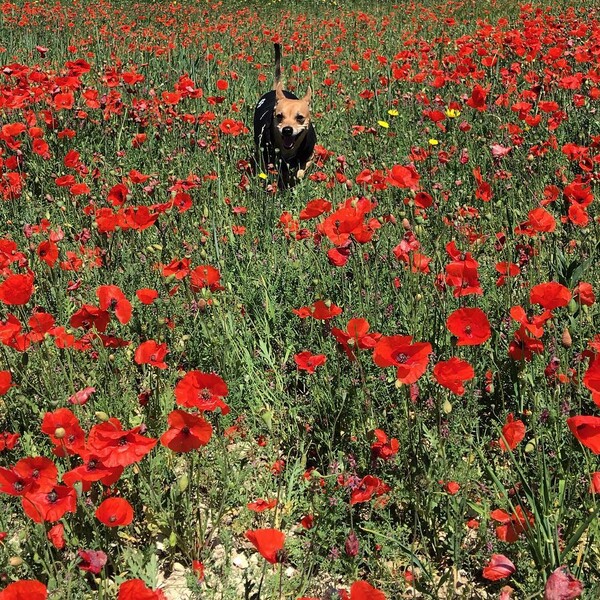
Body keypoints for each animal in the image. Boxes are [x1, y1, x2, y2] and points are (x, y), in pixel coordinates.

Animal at [253, 43, 316, 189]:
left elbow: (300, 170)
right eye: (279, 116)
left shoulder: (309, 156)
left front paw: (294, 178)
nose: (287, 130)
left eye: (300, 118)